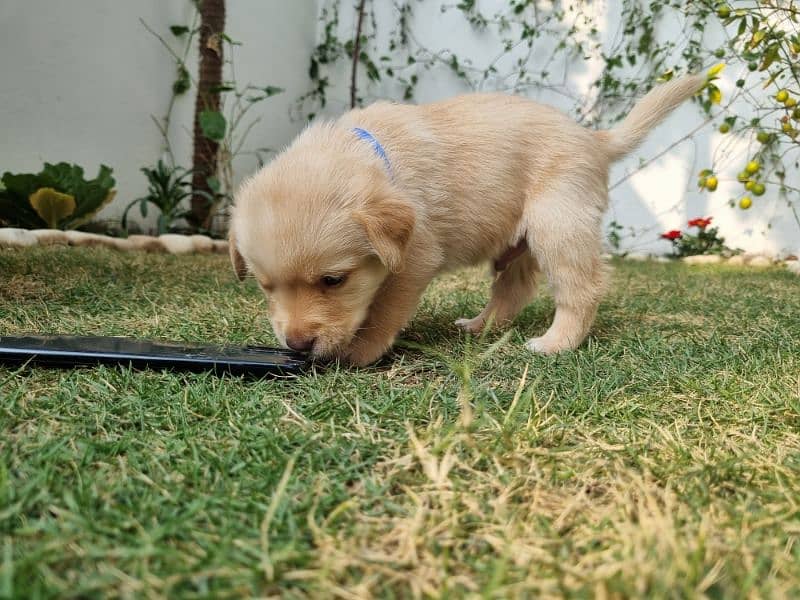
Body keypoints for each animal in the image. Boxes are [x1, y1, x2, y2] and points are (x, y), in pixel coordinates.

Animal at [228, 74, 704, 366]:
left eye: (334, 281)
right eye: (264, 287)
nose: (297, 346)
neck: (374, 155)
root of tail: (593, 138)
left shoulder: (414, 259)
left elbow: (383, 308)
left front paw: (361, 350)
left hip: (558, 224)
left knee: (581, 289)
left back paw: (556, 342)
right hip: (517, 242)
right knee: (514, 289)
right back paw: (480, 326)